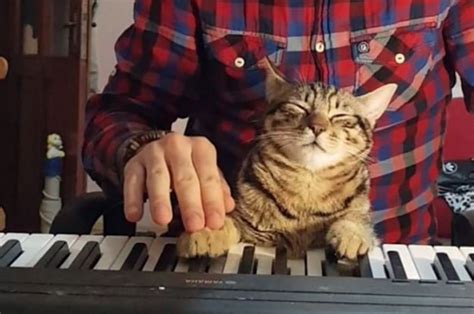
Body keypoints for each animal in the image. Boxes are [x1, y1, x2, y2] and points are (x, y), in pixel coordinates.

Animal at [176, 58, 398, 260]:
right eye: (300, 107)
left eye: (340, 116)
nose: (317, 127)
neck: (308, 184)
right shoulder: (249, 228)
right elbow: (230, 221)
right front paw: (208, 231)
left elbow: (358, 220)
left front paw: (352, 234)